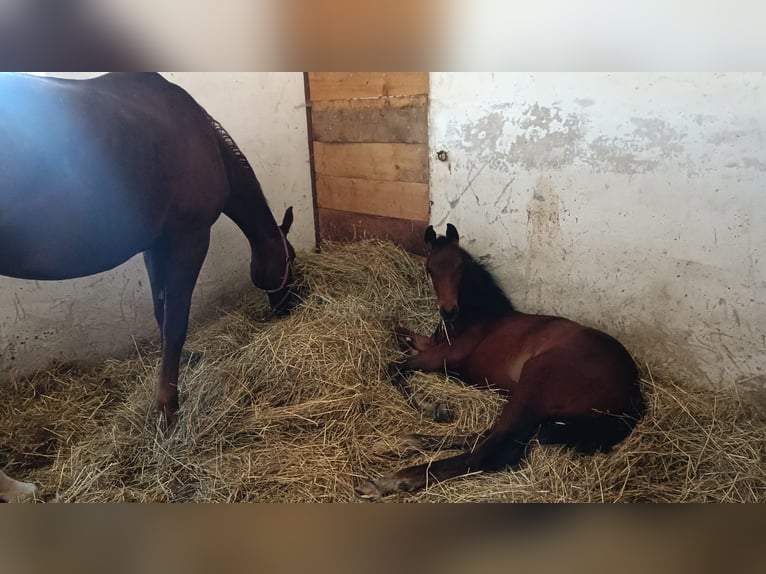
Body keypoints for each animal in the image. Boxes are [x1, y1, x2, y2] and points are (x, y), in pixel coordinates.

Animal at [0, 72, 299, 423]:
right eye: (290, 259)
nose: (290, 305)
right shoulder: (190, 240)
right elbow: (176, 321)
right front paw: (168, 406)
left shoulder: (155, 246)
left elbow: (161, 310)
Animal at [356, 224, 645, 500]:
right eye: (430, 269)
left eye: (460, 266)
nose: (448, 311)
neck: (474, 317)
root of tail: (633, 392)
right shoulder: (431, 344)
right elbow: (397, 334)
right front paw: (437, 410)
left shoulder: (445, 354)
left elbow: (395, 366)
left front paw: (431, 408)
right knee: (494, 436)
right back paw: (404, 443)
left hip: (536, 379)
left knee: (496, 449)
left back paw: (388, 480)